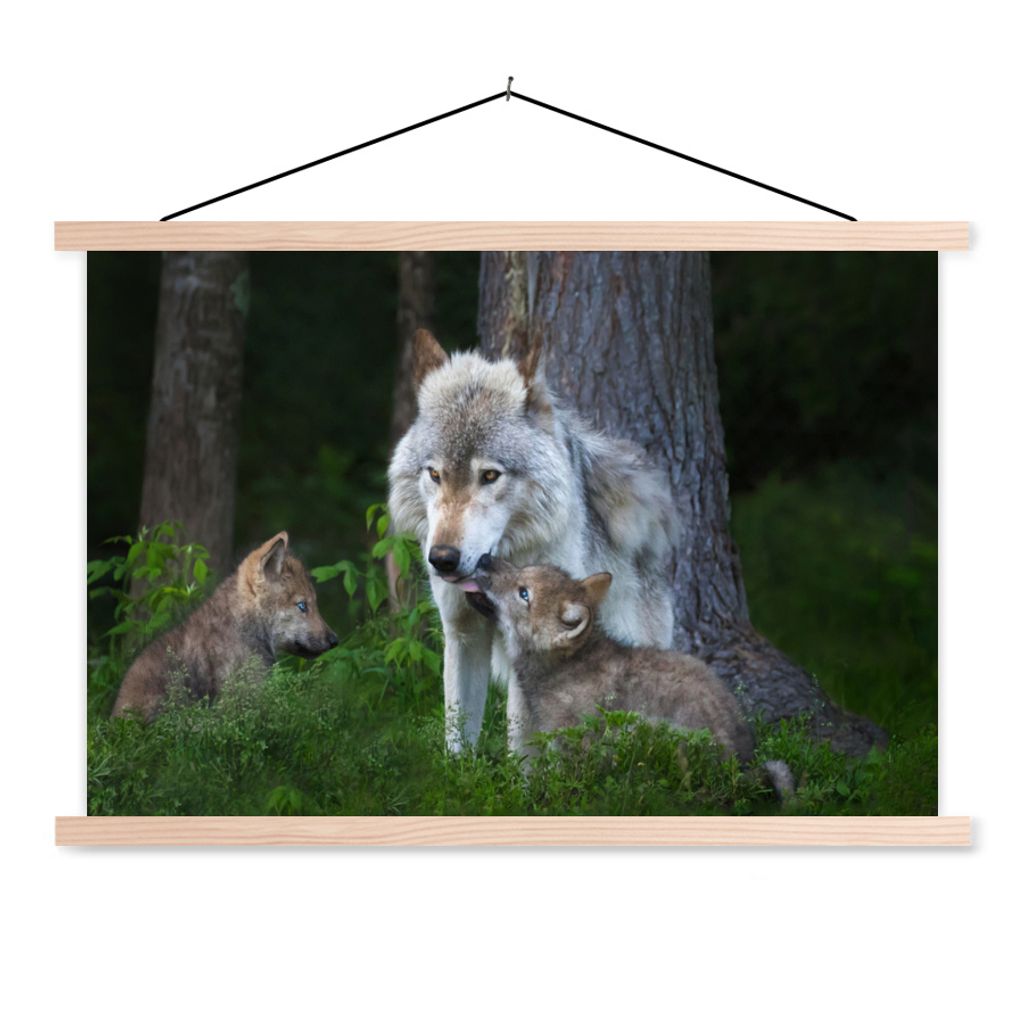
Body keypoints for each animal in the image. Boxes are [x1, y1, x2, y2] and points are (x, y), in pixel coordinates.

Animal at [388, 329, 678, 752]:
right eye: (435, 474)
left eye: (490, 476)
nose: (442, 559)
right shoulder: (462, 635)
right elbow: (457, 740)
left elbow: (521, 748)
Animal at [473, 557, 793, 796]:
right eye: (522, 567)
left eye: (524, 593)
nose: (485, 557)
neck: (565, 667)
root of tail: (740, 766)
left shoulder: (570, 743)